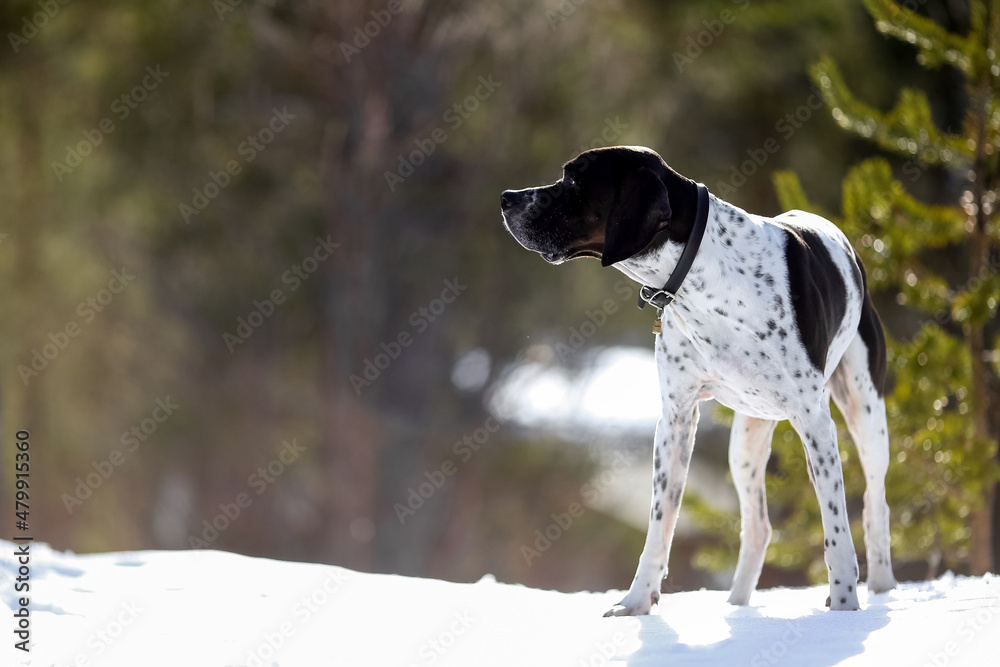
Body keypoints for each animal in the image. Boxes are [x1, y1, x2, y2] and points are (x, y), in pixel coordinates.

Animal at [500, 145, 900, 616]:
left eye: (575, 180)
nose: (506, 198)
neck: (704, 280)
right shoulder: (675, 419)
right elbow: (660, 525)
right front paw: (636, 603)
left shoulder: (815, 422)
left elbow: (836, 529)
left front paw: (842, 608)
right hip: (745, 444)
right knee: (758, 528)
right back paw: (736, 606)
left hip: (865, 415)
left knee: (875, 506)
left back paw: (881, 588)